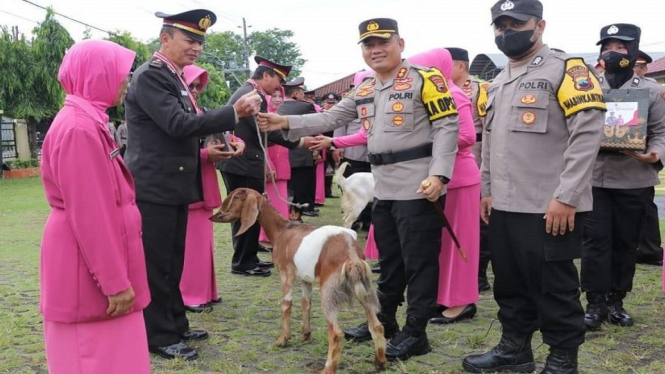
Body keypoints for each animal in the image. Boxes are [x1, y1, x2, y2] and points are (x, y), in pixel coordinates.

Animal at [210, 190, 386, 374]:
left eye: (236, 197)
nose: (216, 215)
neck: (281, 230)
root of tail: (351, 253)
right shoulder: (305, 279)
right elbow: (305, 304)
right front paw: (305, 335)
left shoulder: (286, 275)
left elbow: (286, 305)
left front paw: (283, 340)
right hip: (364, 288)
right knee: (377, 326)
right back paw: (379, 362)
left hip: (329, 291)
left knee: (336, 333)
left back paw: (328, 369)